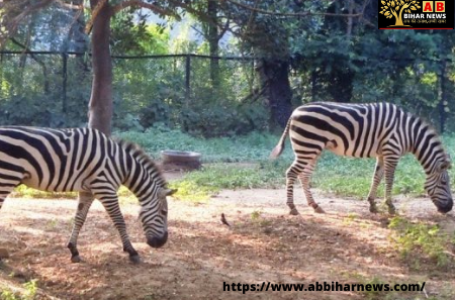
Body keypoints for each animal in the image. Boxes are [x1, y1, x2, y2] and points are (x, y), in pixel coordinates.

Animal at [0, 126, 176, 262]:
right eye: (164, 212)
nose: (162, 242)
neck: (121, 165)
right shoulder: (105, 188)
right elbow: (119, 220)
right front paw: (132, 251)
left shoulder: (88, 190)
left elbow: (79, 218)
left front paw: (73, 250)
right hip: (7, 176)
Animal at [270, 103, 452, 216]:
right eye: (444, 183)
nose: (450, 208)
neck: (410, 134)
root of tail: (294, 112)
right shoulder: (392, 151)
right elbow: (389, 179)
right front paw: (390, 206)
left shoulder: (382, 153)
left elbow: (376, 177)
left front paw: (372, 204)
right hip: (307, 147)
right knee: (291, 173)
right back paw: (292, 207)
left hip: (311, 149)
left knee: (304, 175)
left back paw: (315, 206)